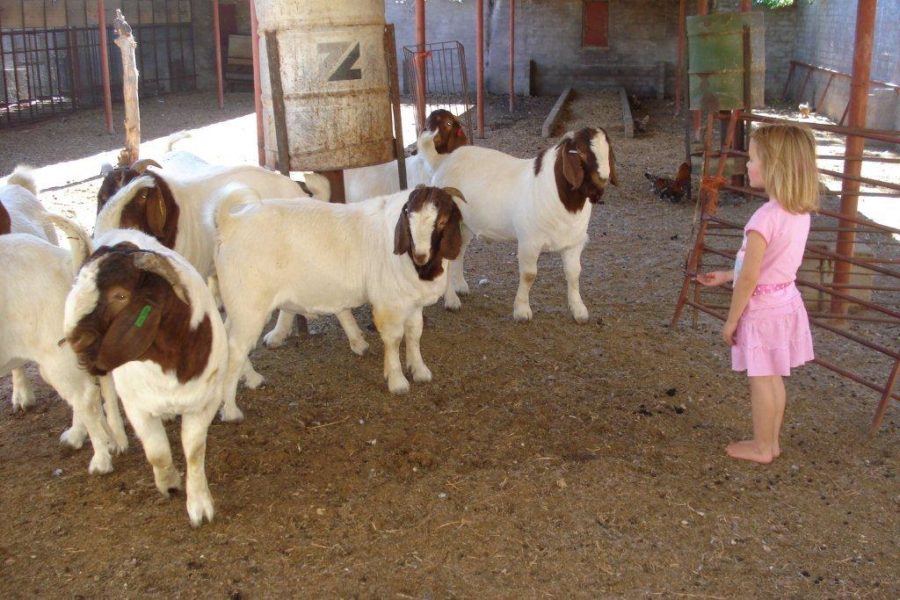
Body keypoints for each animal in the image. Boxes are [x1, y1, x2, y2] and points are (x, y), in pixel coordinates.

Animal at [0, 216, 126, 474]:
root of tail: (70, 266)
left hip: (56, 355)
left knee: (85, 397)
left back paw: (100, 459)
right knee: (97, 387)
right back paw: (102, 439)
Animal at [63, 230, 225, 524]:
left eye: (120, 295)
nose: (74, 339)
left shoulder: (204, 403)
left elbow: (194, 451)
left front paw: (199, 505)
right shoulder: (137, 407)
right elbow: (157, 452)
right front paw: (169, 483)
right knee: (107, 396)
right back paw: (116, 438)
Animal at [430, 127, 620, 324]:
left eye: (609, 149)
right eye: (580, 152)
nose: (602, 181)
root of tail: (445, 161)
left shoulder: (574, 243)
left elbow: (574, 273)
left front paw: (579, 311)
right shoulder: (530, 241)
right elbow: (529, 275)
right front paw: (522, 311)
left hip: (465, 225)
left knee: (458, 252)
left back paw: (460, 286)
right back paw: (451, 301)